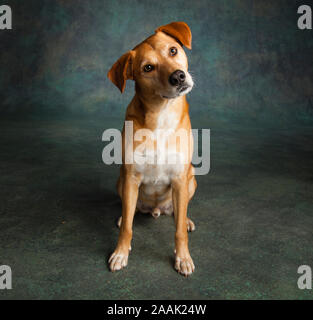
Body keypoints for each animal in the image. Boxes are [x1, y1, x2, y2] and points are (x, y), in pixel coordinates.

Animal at [106, 21, 196, 276]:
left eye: (173, 51)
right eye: (148, 67)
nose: (178, 76)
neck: (161, 114)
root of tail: (156, 210)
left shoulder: (179, 178)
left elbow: (178, 231)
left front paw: (183, 257)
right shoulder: (131, 177)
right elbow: (127, 227)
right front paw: (121, 252)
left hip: (191, 180)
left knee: (179, 211)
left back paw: (185, 218)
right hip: (121, 181)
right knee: (130, 211)